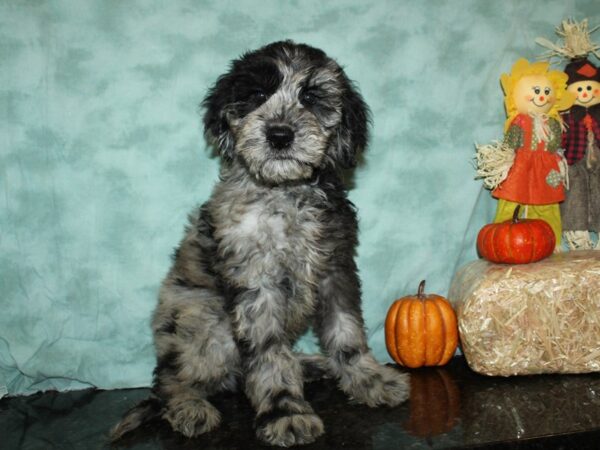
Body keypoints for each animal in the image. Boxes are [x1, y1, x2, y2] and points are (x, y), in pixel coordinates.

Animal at [110, 39, 408, 446]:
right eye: (257, 95)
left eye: (311, 96)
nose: (279, 135)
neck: (285, 194)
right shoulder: (256, 281)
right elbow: (268, 354)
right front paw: (286, 412)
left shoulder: (336, 268)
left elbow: (347, 332)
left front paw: (370, 380)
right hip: (206, 326)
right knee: (170, 380)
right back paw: (189, 407)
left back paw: (310, 364)